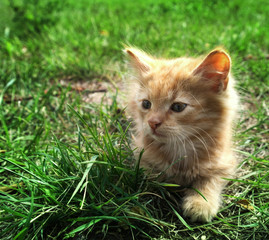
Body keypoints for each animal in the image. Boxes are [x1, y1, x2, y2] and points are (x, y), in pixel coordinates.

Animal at [124, 46, 238, 222]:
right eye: (146, 104)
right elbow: (151, 180)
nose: (152, 122)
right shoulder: (142, 156)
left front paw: (201, 202)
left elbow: (209, 181)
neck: (180, 146)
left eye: (178, 107)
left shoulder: (224, 163)